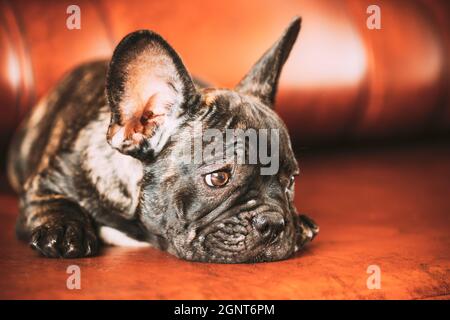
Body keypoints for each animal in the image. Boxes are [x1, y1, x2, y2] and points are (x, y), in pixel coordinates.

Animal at [7, 16, 316, 262]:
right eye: (218, 178)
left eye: (291, 181)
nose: (274, 222)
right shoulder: (45, 183)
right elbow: (52, 202)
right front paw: (65, 229)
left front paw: (299, 224)